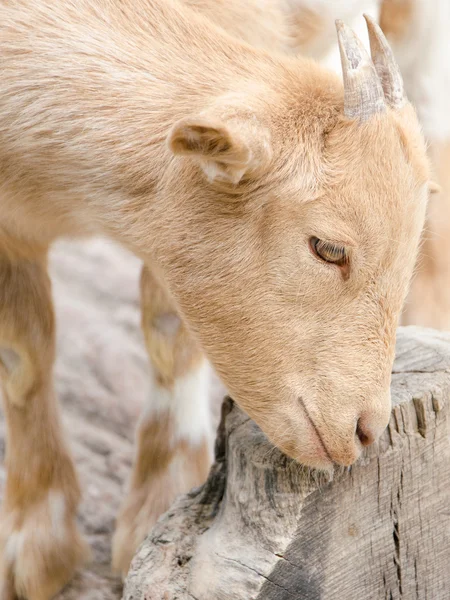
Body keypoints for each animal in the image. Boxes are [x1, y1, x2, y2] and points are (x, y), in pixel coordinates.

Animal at [0, 0, 428, 596]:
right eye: (328, 248)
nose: (364, 431)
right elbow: (22, 357)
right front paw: (36, 541)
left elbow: (169, 333)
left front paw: (159, 502)